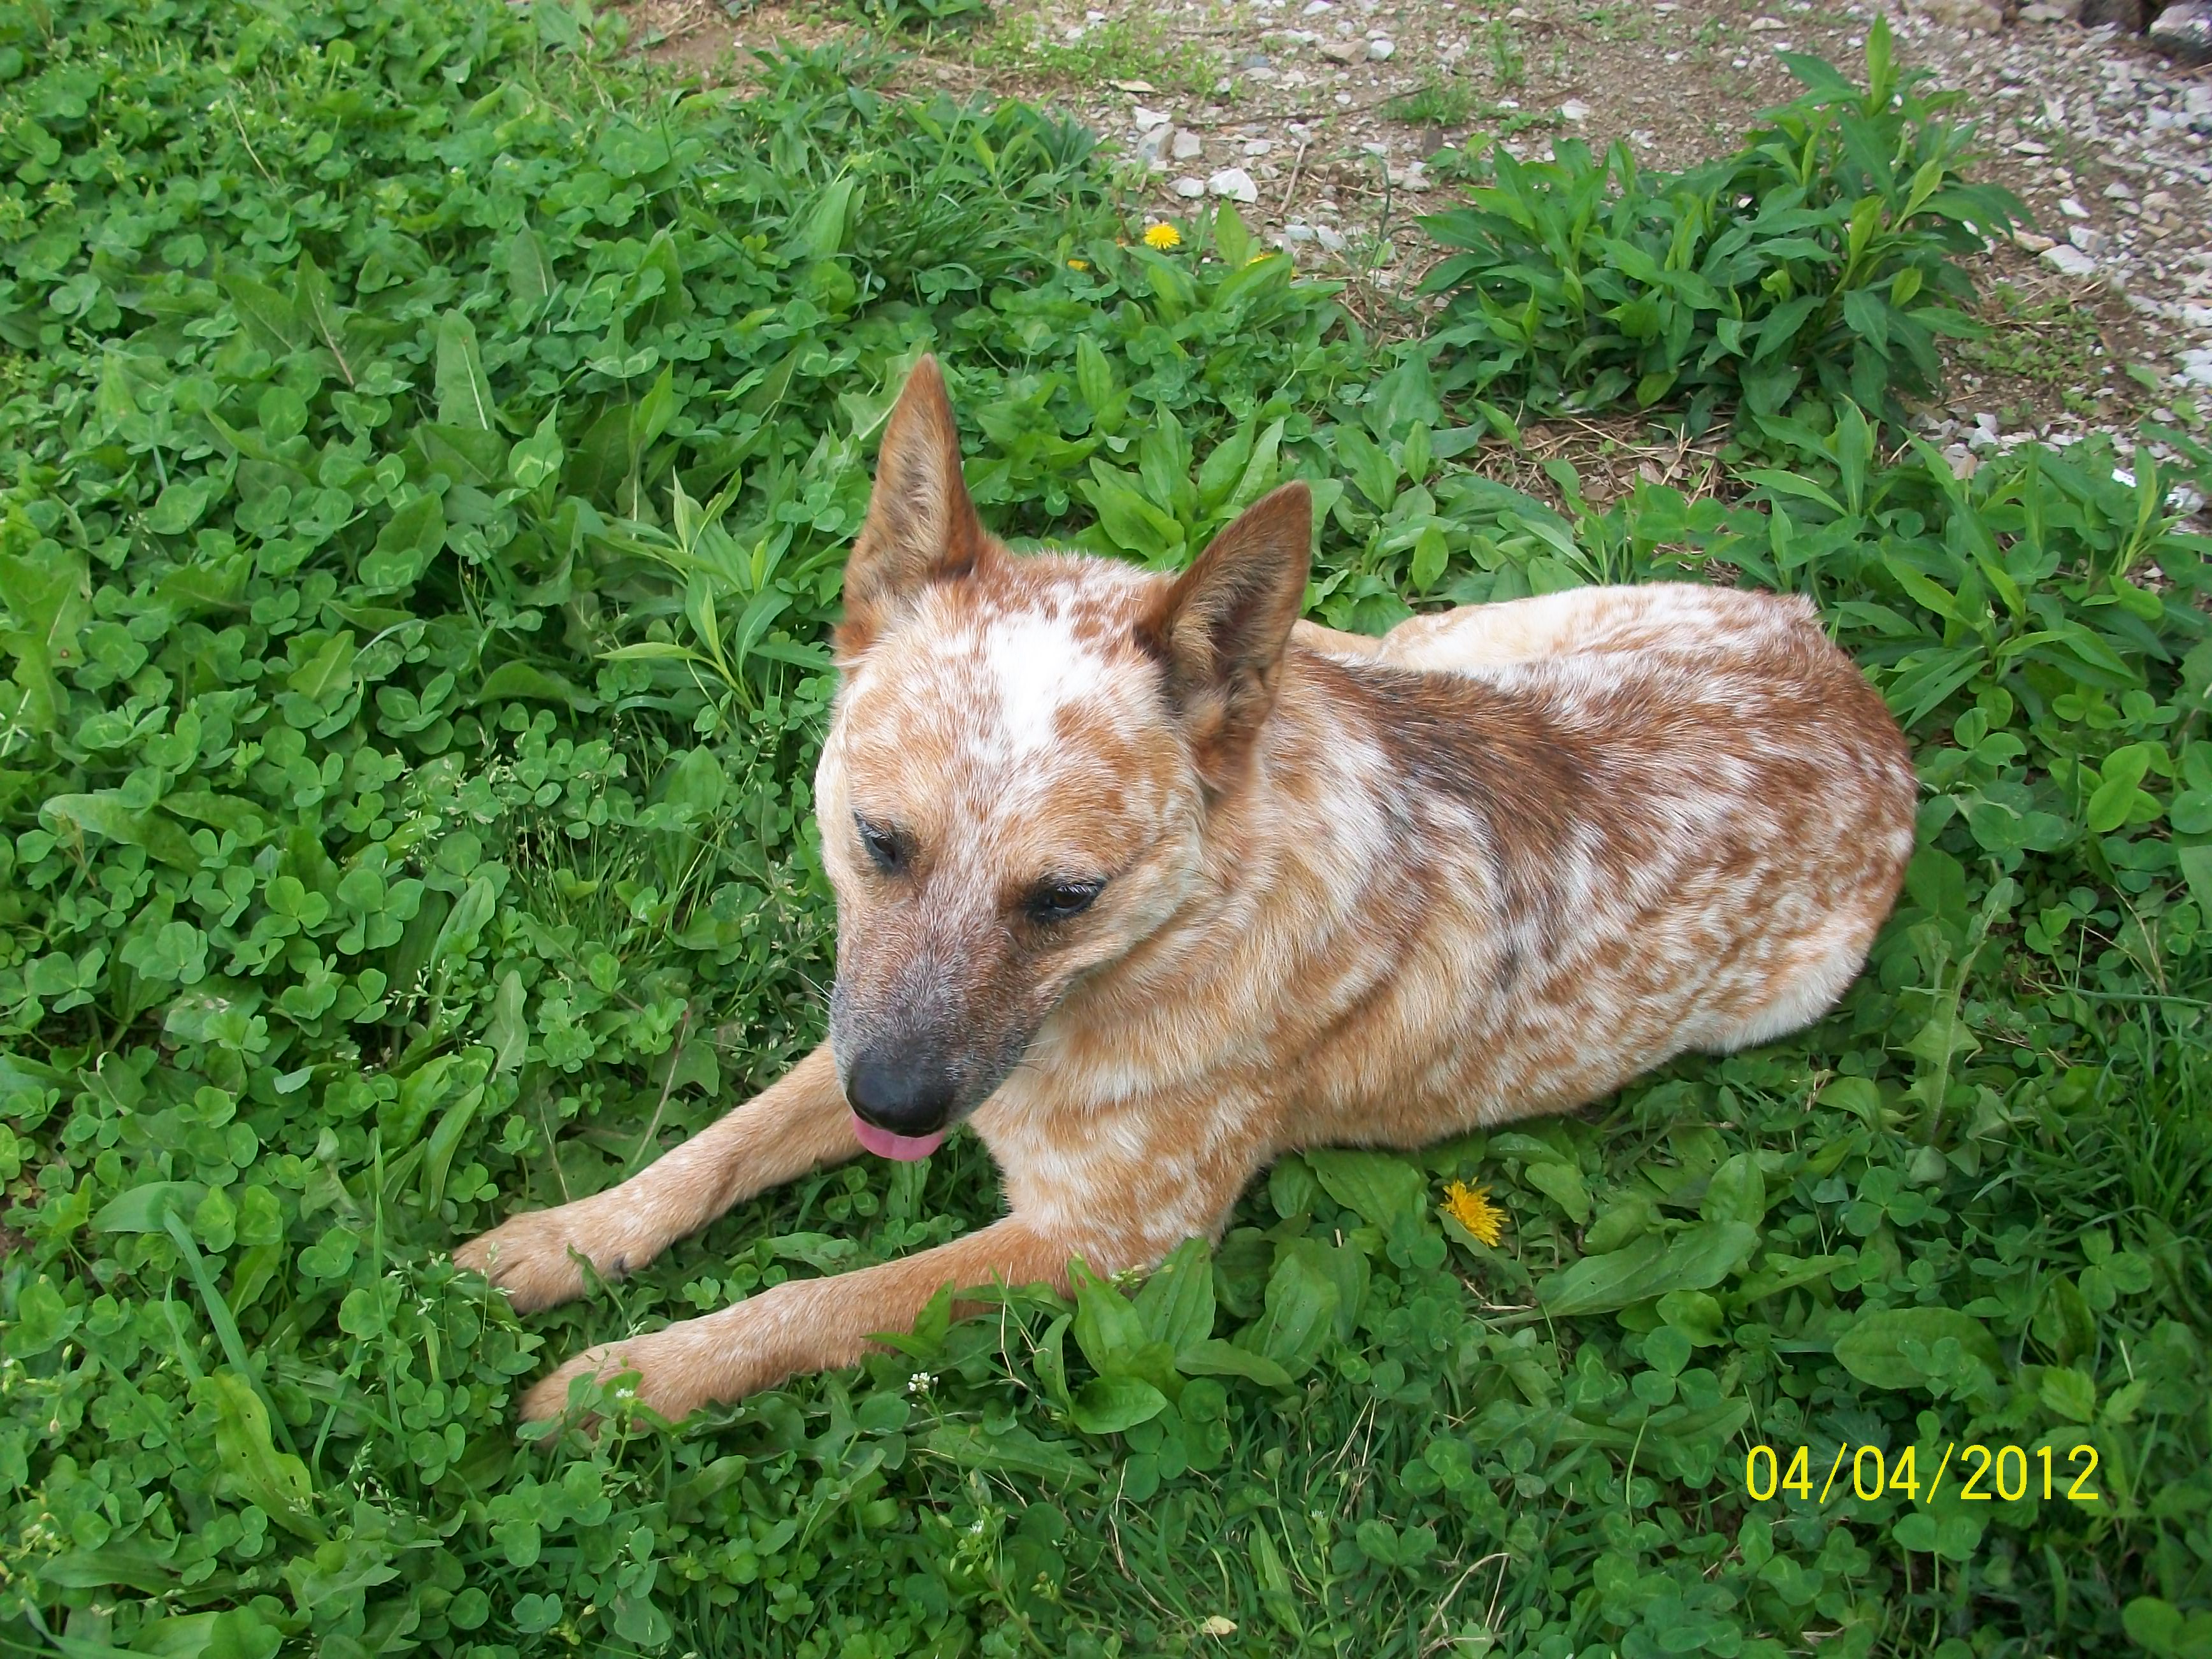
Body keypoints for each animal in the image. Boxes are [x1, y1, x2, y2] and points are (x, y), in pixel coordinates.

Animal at [453, 356, 1917, 1424]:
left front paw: (628, 1378)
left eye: (1065, 896)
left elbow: (814, 1307)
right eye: (878, 841)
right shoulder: (872, 1029)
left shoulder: (1111, 1248)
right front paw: (564, 1240)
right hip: (1440, 637)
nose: (901, 1110)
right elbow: (715, 1146)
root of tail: (1854, 691)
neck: (1157, 956)